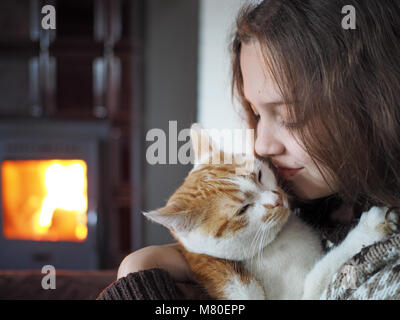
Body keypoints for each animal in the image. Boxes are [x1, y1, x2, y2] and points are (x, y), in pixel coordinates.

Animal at [144, 124, 400, 298]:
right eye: (243, 209)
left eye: (259, 175)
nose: (276, 200)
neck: (277, 242)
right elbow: (320, 274)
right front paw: (370, 229)